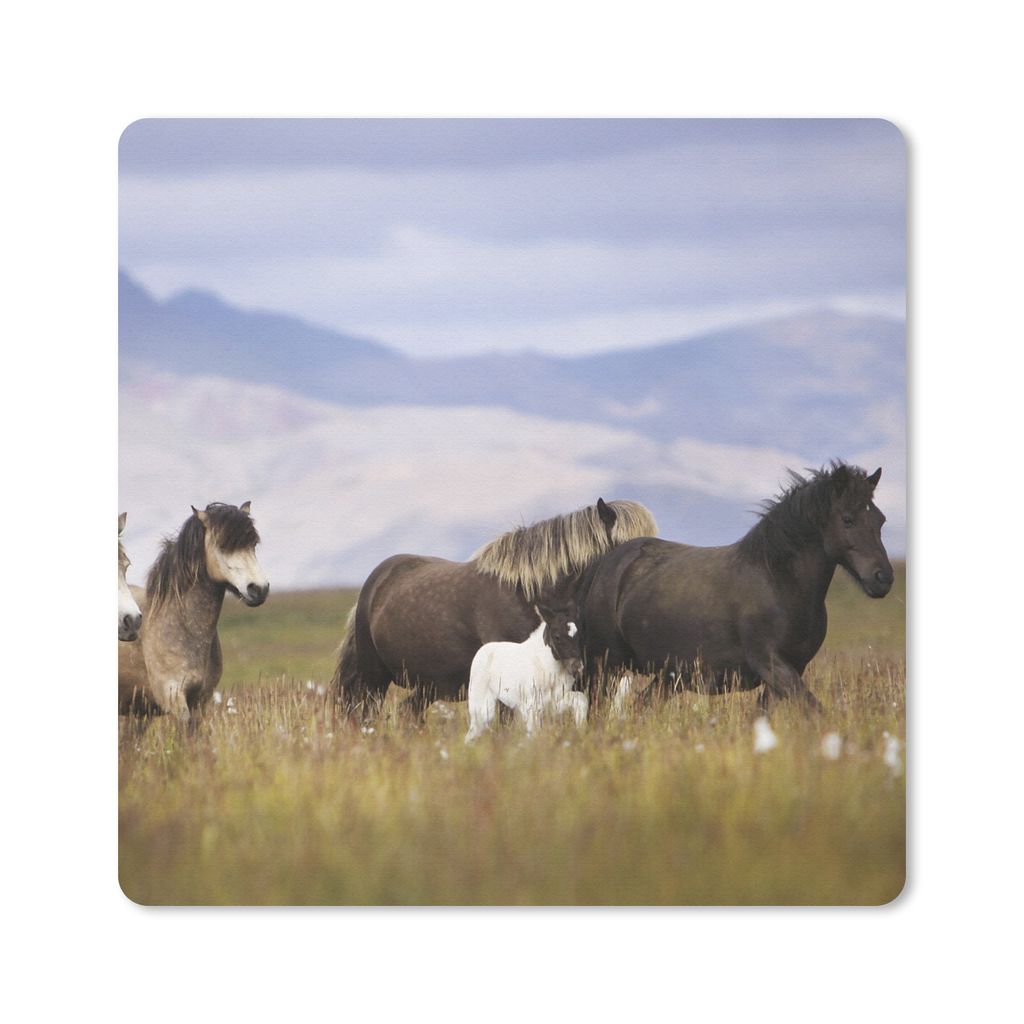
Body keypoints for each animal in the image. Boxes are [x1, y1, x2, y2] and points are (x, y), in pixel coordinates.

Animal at [465, 583, 587, 742]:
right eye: (557, 636)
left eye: (579, 634)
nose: (577, 667)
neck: (546, 667)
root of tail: (483, 650)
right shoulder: (532, 706)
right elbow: (533, 735)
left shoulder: (554, 702)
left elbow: (581, 699)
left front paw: (581, 730)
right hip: (482, 707)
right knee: (472, 733)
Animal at [579, 463, 894, 711]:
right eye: (848, 519)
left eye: (880, 519)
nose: (883, 578)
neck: (779, 583)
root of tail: (613, 558)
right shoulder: (772, 664)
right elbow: (814, 710)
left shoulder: (790, 669)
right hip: (607, 665)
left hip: (669, 675)